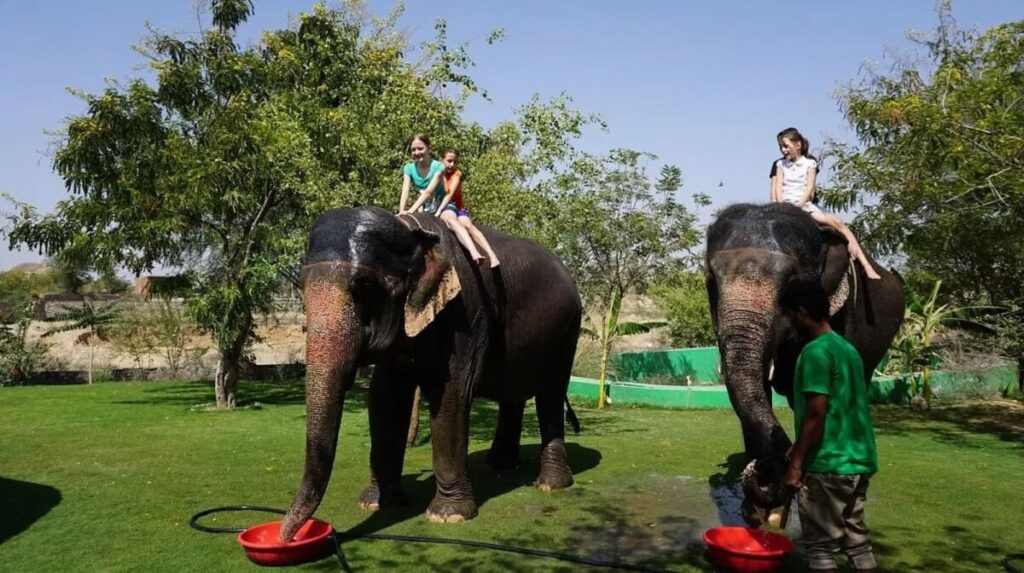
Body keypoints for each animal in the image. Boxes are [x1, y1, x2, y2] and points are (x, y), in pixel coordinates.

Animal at [280, 206, 582, 540]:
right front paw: (377, 503)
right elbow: (385, 399)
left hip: (568, 330)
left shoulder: (465, 313)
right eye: (302, 285)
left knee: (551, 394)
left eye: (367, 287)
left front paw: (448, 516)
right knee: (512, 395)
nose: (287, 537)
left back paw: (551, 484)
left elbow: (450, 393)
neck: (413, 232)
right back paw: (500, 464)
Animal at [704, 203, 904, 520]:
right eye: (710, 281)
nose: (764, 470)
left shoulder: (842, 315)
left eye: (790, 285)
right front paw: (754, 511)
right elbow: (758, 389)